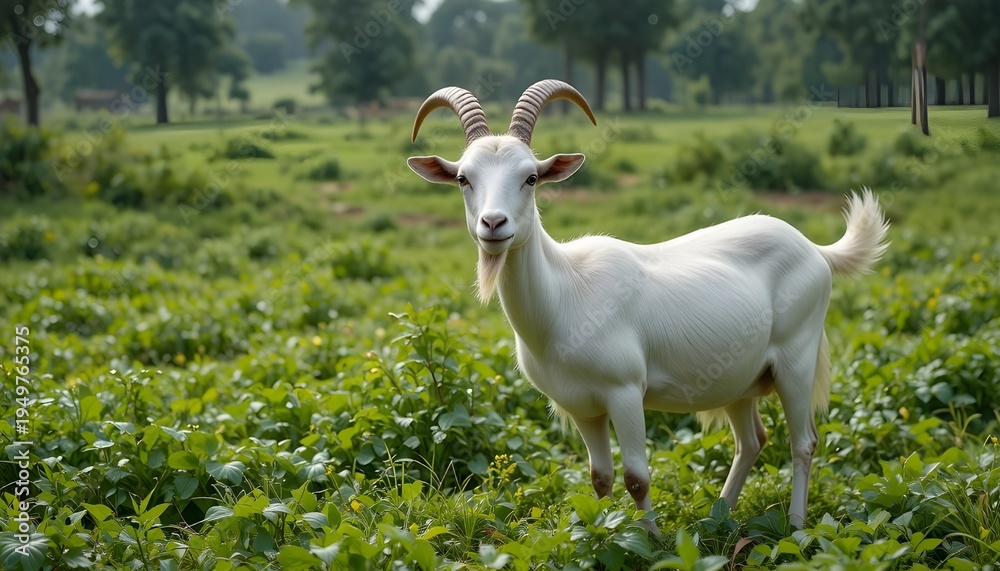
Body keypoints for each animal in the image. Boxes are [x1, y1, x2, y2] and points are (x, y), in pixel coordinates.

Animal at [407, 80, 889, 533]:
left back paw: (796, 526)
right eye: (464, 178)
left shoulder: (624, 392)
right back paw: (719, 519)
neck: (565, 296)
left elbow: (637, 477)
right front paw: (600, 534)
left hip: (796, 359)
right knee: (752, 441)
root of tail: (815, 249)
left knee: (803, 442)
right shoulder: (583, 407)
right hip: (739, 379)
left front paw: (651, 541)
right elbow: (600, 477)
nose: (493, 224)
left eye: (530, 178)